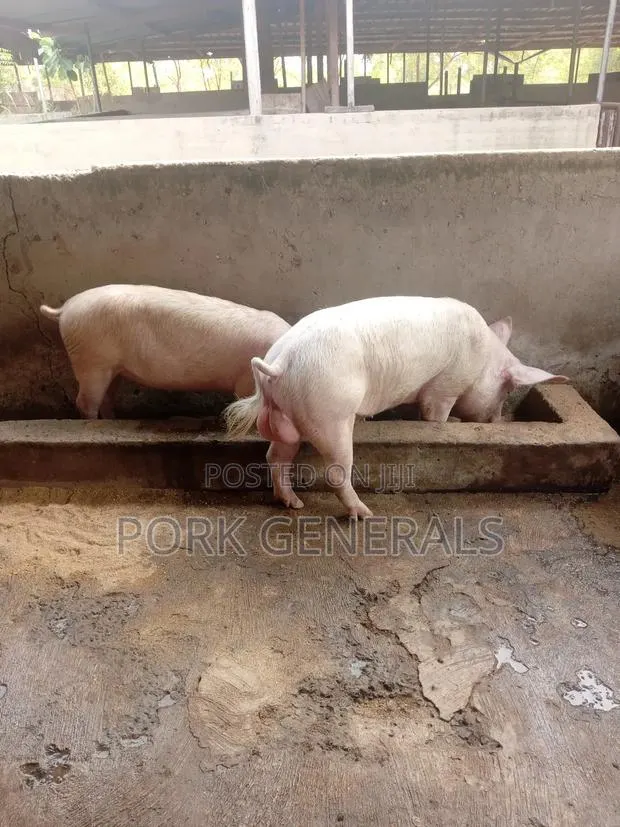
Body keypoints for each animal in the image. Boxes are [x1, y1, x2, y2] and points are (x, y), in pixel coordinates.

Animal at [40, 284, 291, 419]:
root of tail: (66, 309)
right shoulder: (245, 382)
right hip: (91, 361)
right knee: (85, 402)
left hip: (112, 368)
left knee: (106, 398)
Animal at [224, 296, 569, 519]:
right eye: (506, 389)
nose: (497, 421)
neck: (483, 360)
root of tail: (279, 363)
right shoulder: (444, 387)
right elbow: (435, 414)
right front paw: (449, 425)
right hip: (330, 413)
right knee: (335, 471)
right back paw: (364, 514)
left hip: (287, 414)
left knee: (275, 456)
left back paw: (293, 504)